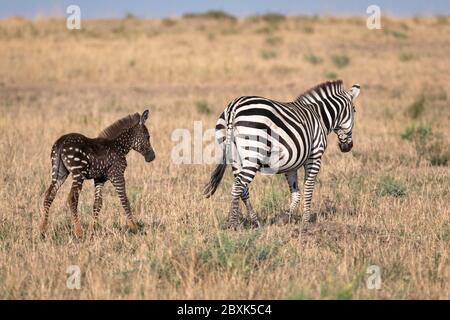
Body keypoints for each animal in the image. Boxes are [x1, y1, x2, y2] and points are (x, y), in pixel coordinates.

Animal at [40, 110, 156, 238]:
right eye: (148, 136)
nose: (152, 157)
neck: (119, 146)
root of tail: (61, 141)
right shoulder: (117, 175)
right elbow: (124, 200)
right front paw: (134, 228)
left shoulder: (100, 179)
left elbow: (97, 204)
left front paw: (92, 230)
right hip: (78, 173)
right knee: (72, 198)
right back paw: (79, 232)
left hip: (59, 172)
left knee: (49, 195)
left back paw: (43, 230)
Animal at [206, 81, 360, 229]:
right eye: (354, 110)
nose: (348, 147)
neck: (319, 117)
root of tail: (234, 106)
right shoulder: (315, 156)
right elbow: (309, 188)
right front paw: (306, 221)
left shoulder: (291, 164)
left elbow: (296, 193)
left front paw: (285, 218)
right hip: (253, 155)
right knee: (237, 186)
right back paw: (233, 224)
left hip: (235, 157)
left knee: (243, 189)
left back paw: (255, 222)